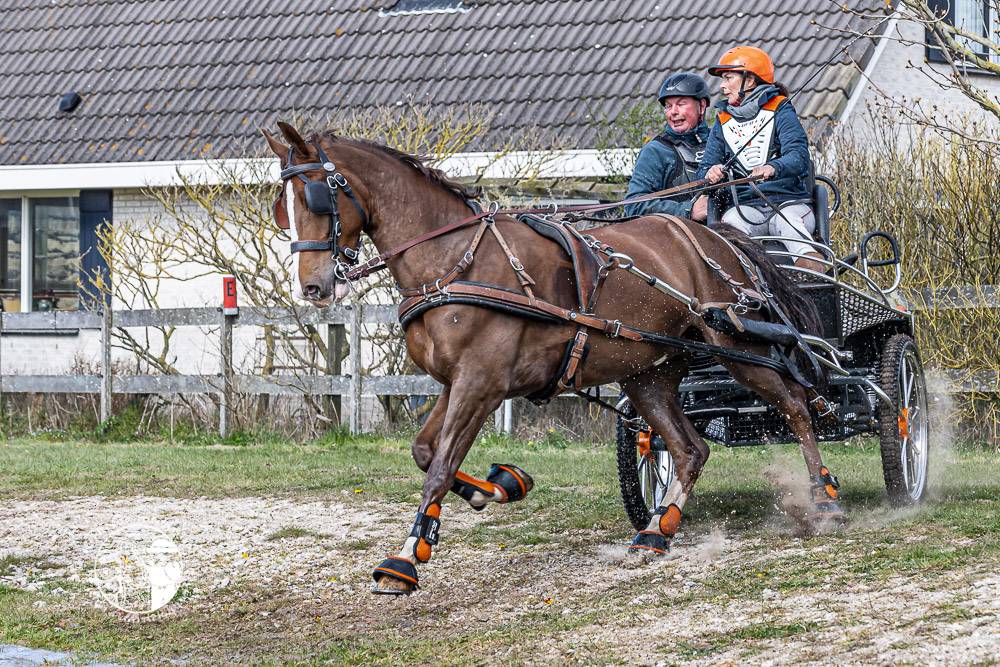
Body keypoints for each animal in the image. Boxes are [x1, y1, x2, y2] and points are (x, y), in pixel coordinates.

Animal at [262, 124, 840, 596]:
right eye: (281, 206)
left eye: (316, 197)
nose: (313, 287)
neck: (453, 263)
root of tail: (715, 236)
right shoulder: (456, 382)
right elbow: (425, 453)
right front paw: (501, 485)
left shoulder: (481, 383)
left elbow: (440, 465)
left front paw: (405, 560)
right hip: (650, 374)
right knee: (690, 449)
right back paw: (657, 531)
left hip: (740, 348)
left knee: (796, 406)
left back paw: (824, 498)